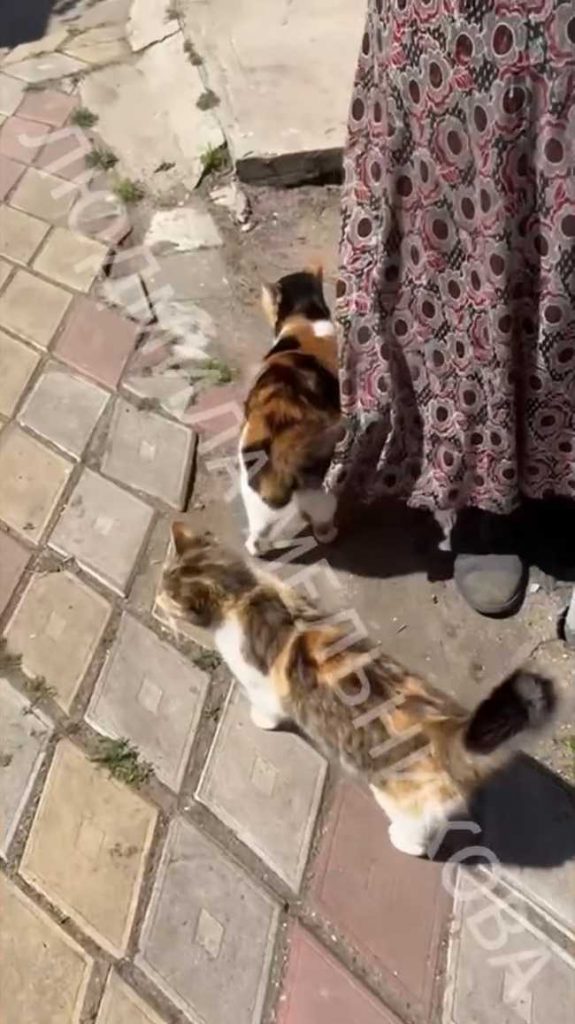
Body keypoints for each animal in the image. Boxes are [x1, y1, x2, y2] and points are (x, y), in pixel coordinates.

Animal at [158, 523, 556, 857]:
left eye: (167, 597)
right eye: (162, 584)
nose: (156, 599)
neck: (245, 592)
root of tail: (449, 729)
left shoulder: (264, 685)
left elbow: (269, 707)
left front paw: (262, 720)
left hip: (399, 795)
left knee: (420, 830)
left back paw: (403, 841)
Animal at [239, 267, 341, 555]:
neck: (307, 318)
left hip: (255, 489)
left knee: (261, 530)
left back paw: (254, 548)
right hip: (319, 491)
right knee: (320, 521)